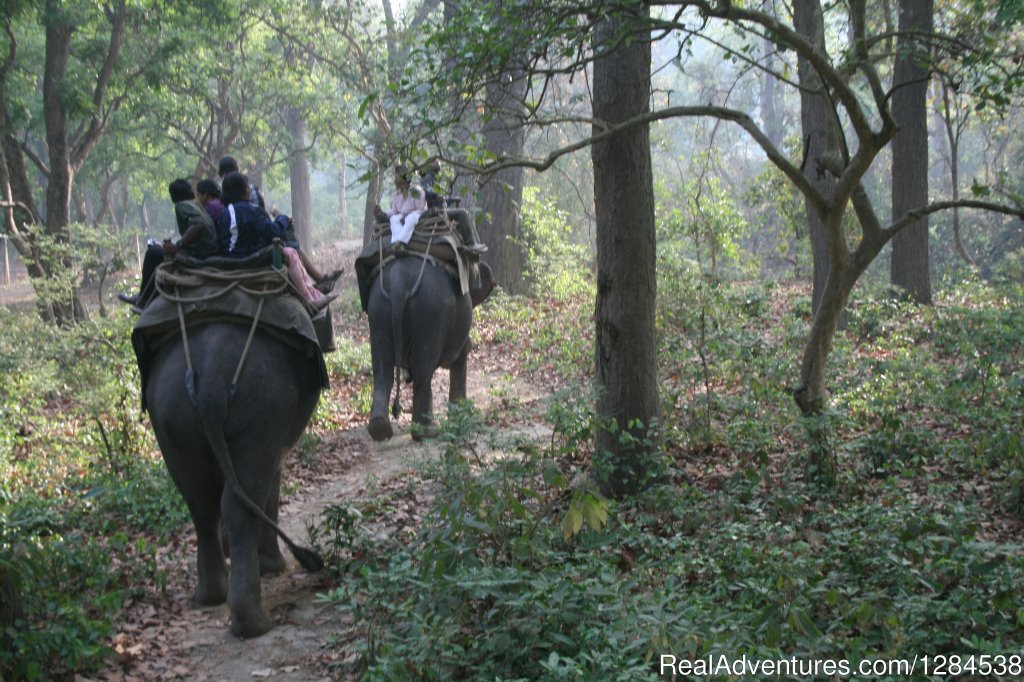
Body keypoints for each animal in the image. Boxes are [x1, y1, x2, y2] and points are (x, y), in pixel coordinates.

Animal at [366, 251, 473, 438]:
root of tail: (398, 281)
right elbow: (460, 359)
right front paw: (461, 416)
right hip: (432, 314)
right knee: (423, 373)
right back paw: (427, 432)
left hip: (377, 311)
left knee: (382, 370)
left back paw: (379, 428)